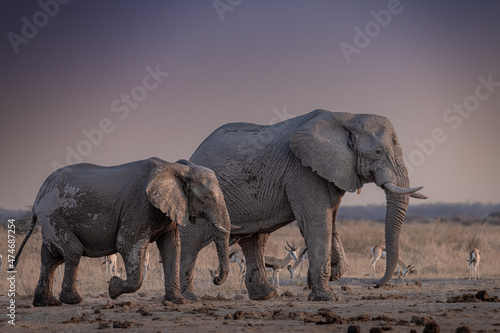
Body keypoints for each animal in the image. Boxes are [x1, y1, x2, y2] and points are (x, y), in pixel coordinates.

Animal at [10, 157, 230, 304]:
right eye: (207, 197)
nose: (216, 279)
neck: (179, 168)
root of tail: (38, 196)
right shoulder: (140, 206)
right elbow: (127, 244)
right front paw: (113, 288)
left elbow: (172, 247)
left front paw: (177, 301)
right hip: (54, 217)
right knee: (72, 251)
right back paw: (73, 300)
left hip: (50, 220)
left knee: (50, 258)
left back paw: (46, 302)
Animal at [180, 109, 426, 300]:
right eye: (377, 152)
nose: (375, 284)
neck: (348, 117)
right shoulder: (302, 171)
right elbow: (316, 221)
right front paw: (326, 297)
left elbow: (331, 222)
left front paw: (327, 276)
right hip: (202, 197)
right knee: (192, 241)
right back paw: (188, 297)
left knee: (256, 240)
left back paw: (266, 295)